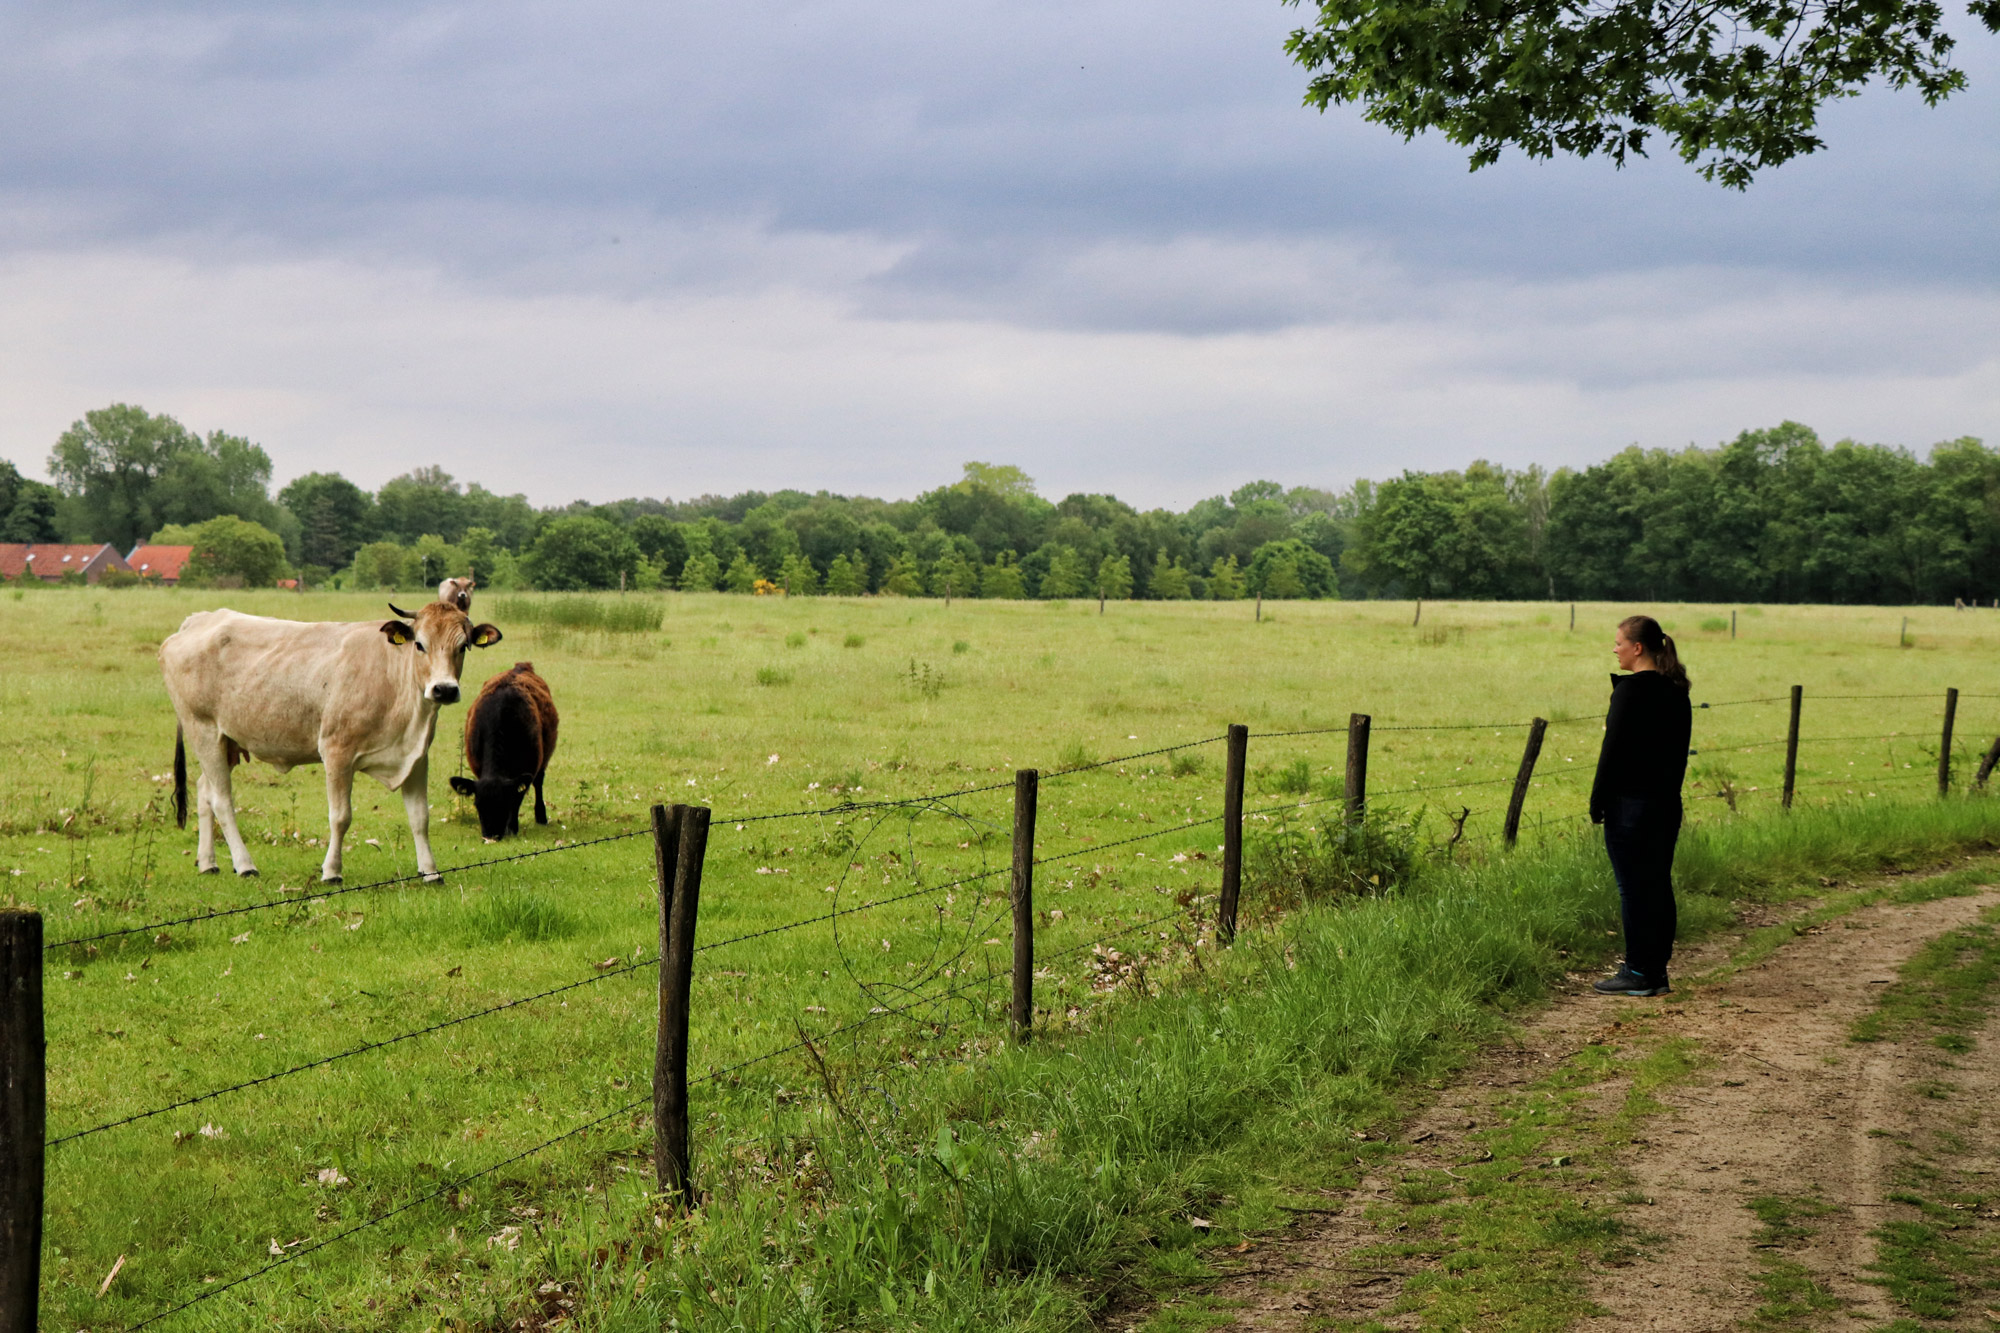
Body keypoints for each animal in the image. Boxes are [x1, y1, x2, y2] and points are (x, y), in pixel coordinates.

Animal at [165, 596, 508, 876]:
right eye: (419, 644)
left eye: (462, 646)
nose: (444, 689)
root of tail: (198, 619)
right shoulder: (336, 752)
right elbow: (340, 817)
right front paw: (331, 871)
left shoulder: (415, 757)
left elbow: (420, 817)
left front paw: (430, 872)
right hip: (203, 730)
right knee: (222, 800)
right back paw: (245, 864)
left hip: (226, 743)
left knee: (204, 790)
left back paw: (208, 862)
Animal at [446, 660, 556, 836]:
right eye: (477, 805)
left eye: (504, 804)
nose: (491, 835)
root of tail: (521, 666)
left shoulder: (528, 769)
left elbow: (517, 799)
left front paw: (513, 827)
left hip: (543, 759)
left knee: (538, 783)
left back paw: (541, 816)